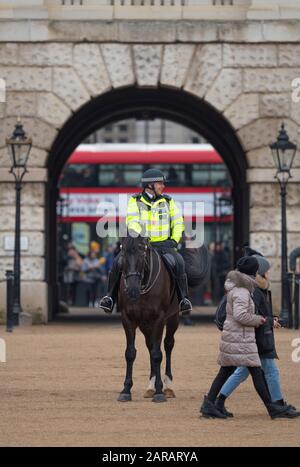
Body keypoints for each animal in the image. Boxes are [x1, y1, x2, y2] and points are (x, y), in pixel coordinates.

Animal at [116, 236, 178, 404]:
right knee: (150, 346)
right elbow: (130, 353)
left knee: (168, 345)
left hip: (173, 318)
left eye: (142, 255)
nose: (132, 290)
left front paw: (160, 392)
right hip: (145, 325)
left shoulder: (159, 319)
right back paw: (150, 387)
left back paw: (168, 386)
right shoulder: (128, 319)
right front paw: (125, 390)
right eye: (123, 254)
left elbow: (158, 354)